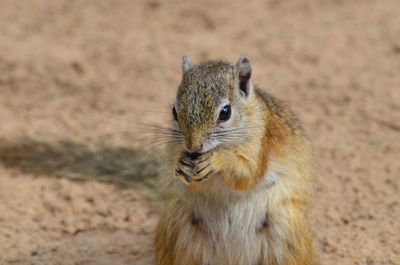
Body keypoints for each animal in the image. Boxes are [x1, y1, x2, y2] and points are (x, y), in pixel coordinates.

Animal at [155, 55, 318, 264]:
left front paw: (216, 160)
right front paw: (181, 165)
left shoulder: (259, 147)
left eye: (225, 112)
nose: (193, 146)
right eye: (174, 111)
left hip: (286, 229)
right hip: (175, 221)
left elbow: (247, 176)